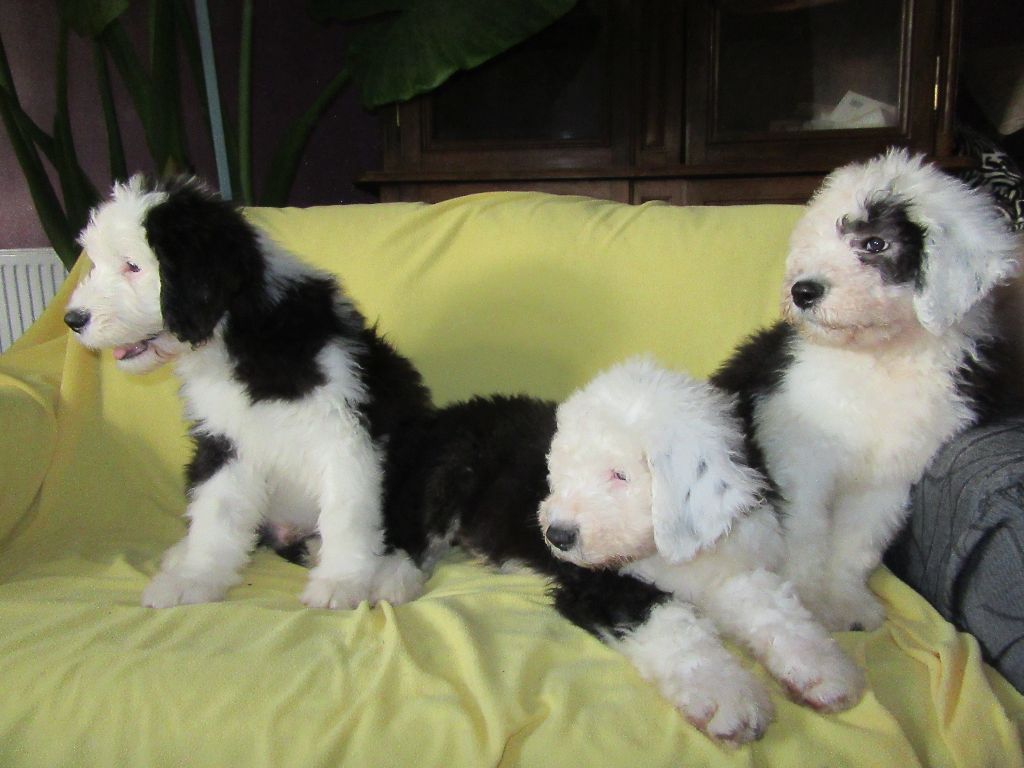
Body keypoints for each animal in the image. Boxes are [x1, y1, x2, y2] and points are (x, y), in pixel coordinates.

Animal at [63, 175, 430, 610]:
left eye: (132, 266)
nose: (72, 319)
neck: (240, 336)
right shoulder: (223, 441)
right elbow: (216, 513)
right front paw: (194, 578)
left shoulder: (345, 433)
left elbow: (347, 512)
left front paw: (341, 583)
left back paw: (391, 576)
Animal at [539, 358, 864, 744]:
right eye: (562, 471)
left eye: (620, 475)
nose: (557, 535)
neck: (669, 553)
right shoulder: (599, 586)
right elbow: (674, 626)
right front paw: (727, 698)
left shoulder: (731, 569)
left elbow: (774, 609)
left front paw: (820, 668)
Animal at [712, 149, 1022, 632]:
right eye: (815, 243)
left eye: (875, 244)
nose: (802, 291)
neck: (879, 361)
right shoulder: (800, 461)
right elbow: (806, 534)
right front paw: (808, 599)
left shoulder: (889, 479)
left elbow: (858, 544)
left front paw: (846, 604)